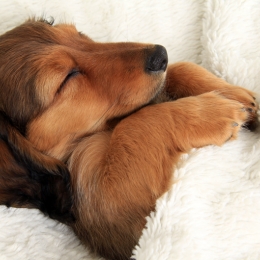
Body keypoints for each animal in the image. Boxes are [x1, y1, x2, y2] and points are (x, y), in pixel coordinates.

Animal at [0, 18, 258, 260]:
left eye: (78, 34)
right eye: (66, 79)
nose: (160, 55)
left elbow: (180, 68)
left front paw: (237, 95)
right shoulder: (110, 209)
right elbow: (133, 123)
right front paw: (213, 112)